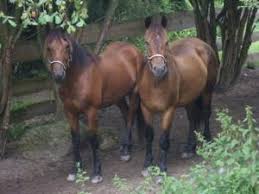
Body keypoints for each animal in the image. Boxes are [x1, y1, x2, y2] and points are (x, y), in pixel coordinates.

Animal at [42, 28, 144, 183]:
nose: (59, 75)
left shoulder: (91, 111)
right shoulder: (70, 112)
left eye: (66, 47)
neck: (79, 77)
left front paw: (97, 173)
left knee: (131, 116)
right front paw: (75, 170)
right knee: (126, 115)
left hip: (133, 93)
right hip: (118, 97)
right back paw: (125, 148)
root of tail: (134, 49)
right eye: (49, 48)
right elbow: (75, 139)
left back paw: (126, 151)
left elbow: (93, 139)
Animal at [138, 15, 219, 175]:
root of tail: (203, 44)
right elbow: (149, 135)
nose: (159, 69)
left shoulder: (169, 110)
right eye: (146, 42)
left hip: (207, 91)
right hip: (190, 98)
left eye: (166, 42)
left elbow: (164, 139)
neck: (155, 83)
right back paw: (190, 148)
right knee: (192, 118)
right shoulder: (146, 109)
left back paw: (207, 140)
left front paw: (162, 167)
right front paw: (147, 164)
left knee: (206, 113)